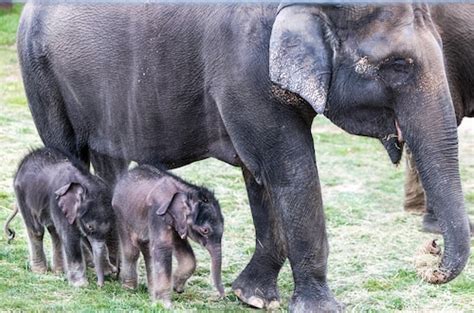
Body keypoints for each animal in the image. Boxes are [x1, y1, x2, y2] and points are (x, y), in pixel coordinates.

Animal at [112, 165, 225, 306]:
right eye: (205, 230)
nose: (222, 296)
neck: (187, 192)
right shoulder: (158, 212)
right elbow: (163, 247)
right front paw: (164, 305)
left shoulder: (176, 220)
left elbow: (181, 247)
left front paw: (176, 287)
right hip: (121, 215)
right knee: (131, 251)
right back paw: (129, 288)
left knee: (149, 251)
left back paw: (151, 291)